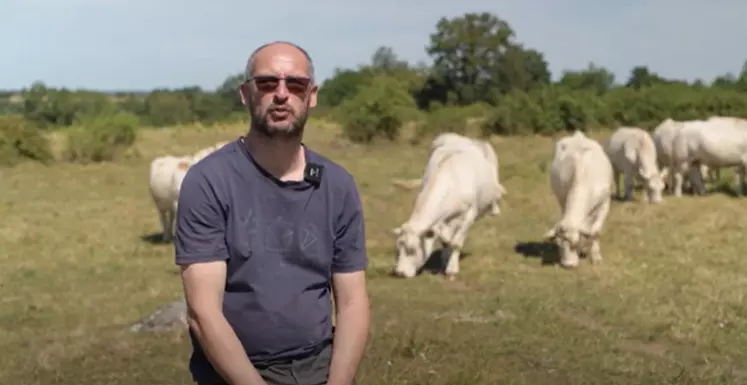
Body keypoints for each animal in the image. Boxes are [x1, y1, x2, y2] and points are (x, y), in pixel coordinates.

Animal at [392, 133, 508, 280]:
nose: (400, 273)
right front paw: (444, 262)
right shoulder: (442, 223)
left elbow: (456, 243)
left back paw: (494, 210)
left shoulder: (469, 216)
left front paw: (452, 269)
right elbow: (446, 242)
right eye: (398, 248)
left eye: (412, 249)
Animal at [544, 130, 612, 268]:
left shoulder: (605, 203)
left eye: (575, 243)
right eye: (558, 244)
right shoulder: (563, 199)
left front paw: (596, 256)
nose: (568, 265)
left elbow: (595, 231)